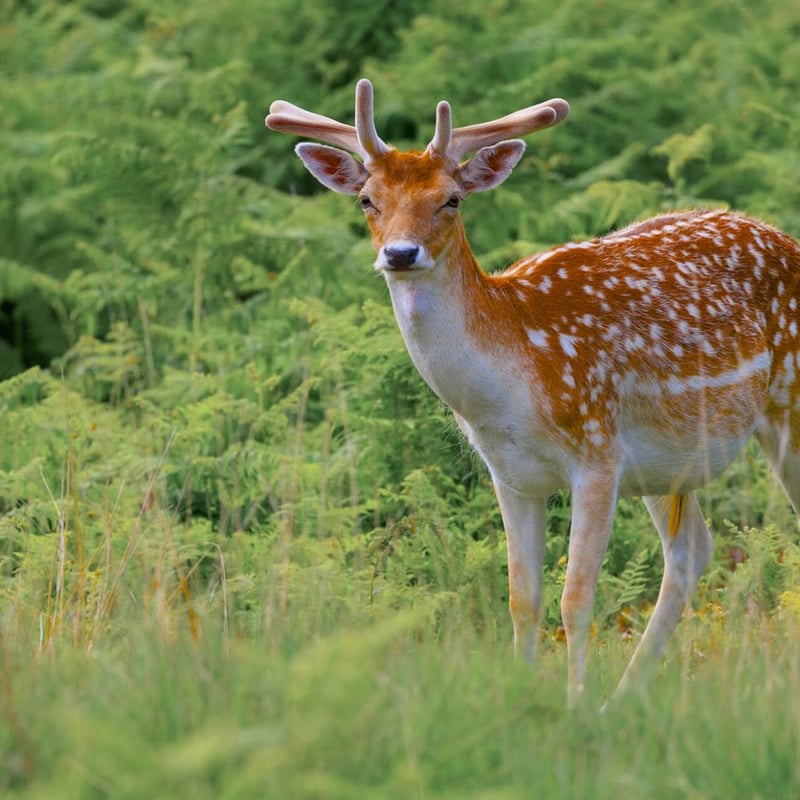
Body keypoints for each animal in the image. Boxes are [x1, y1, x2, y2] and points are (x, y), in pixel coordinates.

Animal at [266, 79, 800, 705]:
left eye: (452, 199)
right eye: (367, 200)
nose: (400, 254)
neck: (509, 387)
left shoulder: (597, 451)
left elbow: (576, 599)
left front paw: (574, 706)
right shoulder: (511, 474)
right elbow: (522, 599)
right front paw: (526, 701)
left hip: (785, 406)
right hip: (667, 463)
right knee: (691, 551)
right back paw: (624, 697)